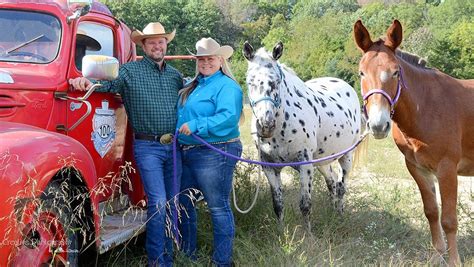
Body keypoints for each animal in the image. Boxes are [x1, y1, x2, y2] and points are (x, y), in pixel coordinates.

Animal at [244, 42, 362, 232]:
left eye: (276, 82)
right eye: (249, 82)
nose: (266, 125)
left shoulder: (305, 163)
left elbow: (305, 204)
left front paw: (308, 234)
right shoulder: (269, 166)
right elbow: (278, 204)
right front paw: (280, 233)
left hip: (346, 156)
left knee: (341, 187)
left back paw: (339, 216)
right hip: (322, 161)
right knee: (332, 183)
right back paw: (332, 213)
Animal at [354, 19, 472, 266]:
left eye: (395, 72)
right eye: (361, 72)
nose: (378, 125)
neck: (427, 106)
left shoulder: (447, 169)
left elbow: (449, 220)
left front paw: (454, 261)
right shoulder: (417, 168)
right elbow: (432, 212)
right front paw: (437, 256)